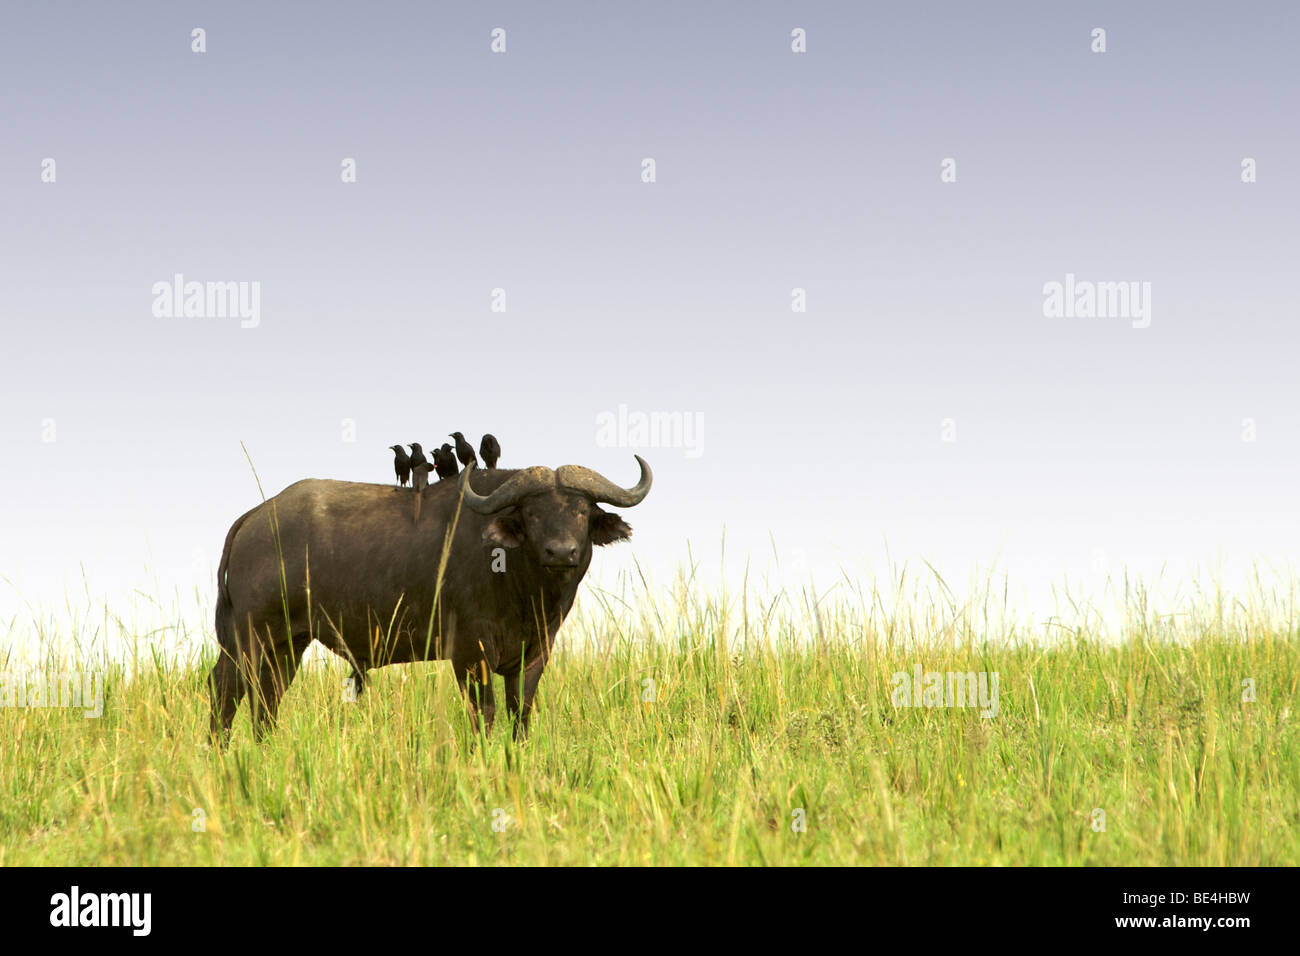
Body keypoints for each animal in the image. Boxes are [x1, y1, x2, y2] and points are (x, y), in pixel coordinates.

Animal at [209, 455, 655, 738]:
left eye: (581, 510)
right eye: (532, 512)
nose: (561, 552)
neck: (524, 590)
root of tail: (255, 518)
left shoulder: (535, 653)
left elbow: (520, 713)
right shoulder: (470, 653)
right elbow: (484, 713)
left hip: (288, 643)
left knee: (266, 699)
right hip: (251, 637)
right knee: (228, 690)